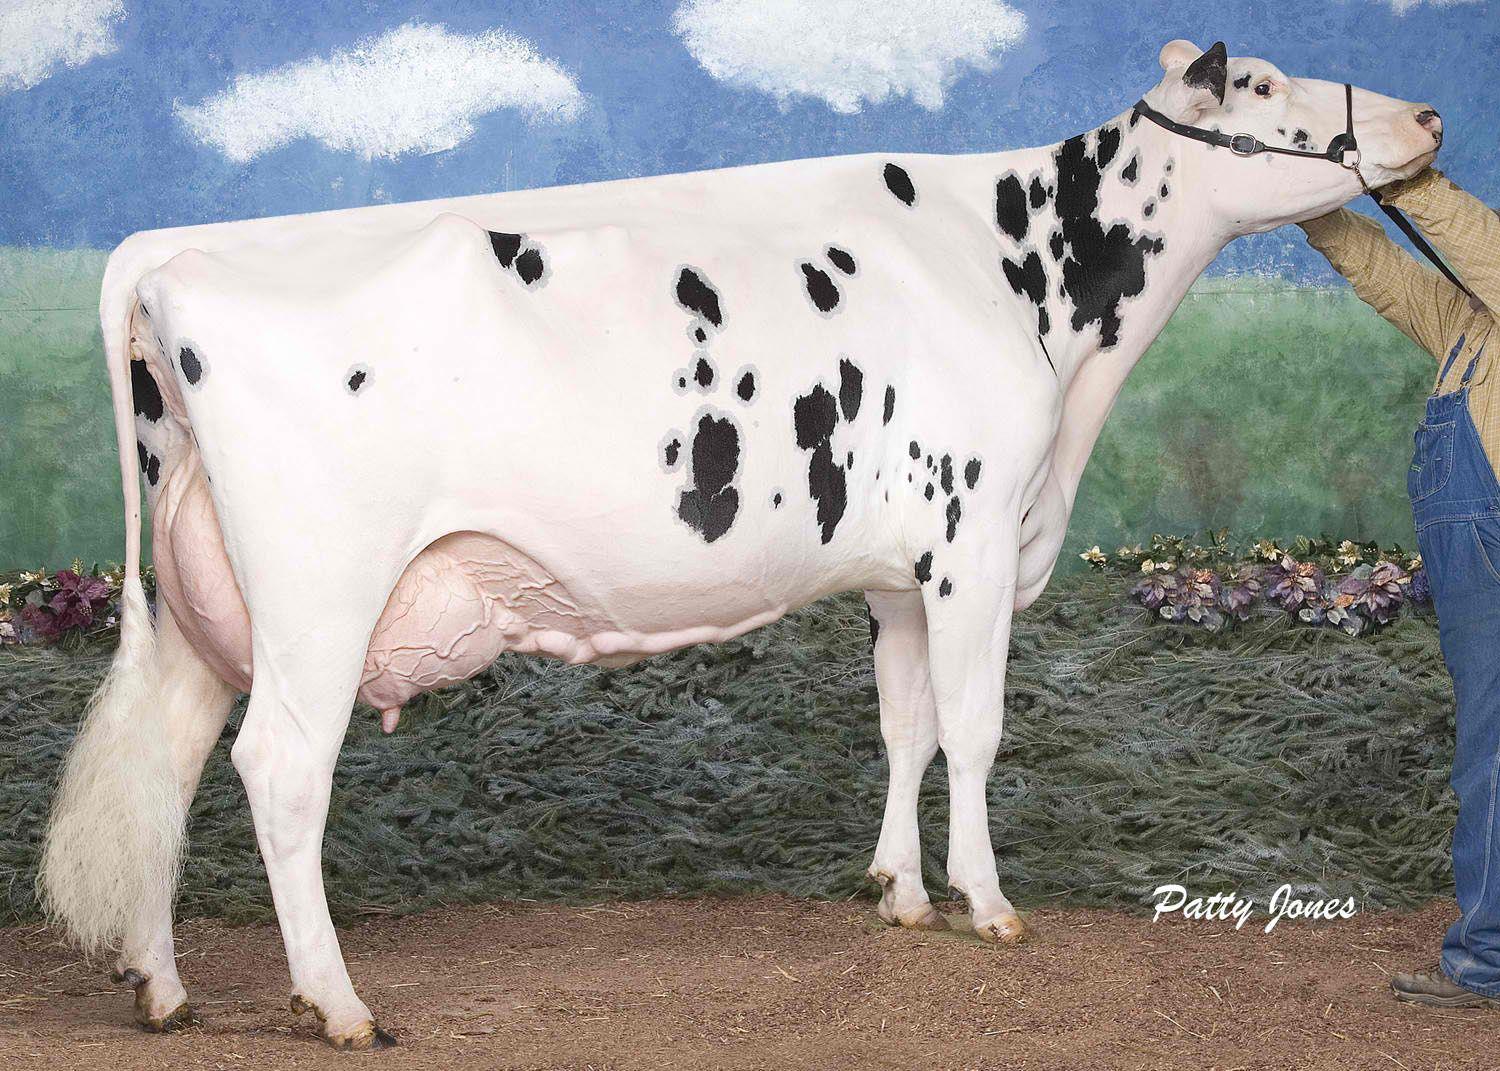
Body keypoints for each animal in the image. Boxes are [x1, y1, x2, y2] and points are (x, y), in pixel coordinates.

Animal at [38, 39, 1441, 1049]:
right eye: (1261, 82)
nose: (1428, 119)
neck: (1027, 284)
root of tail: (164, 257)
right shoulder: (976, 534)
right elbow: (977, 728)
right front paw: (987, 905)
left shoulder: (899, 574)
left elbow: (906, 724)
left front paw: (900, 893)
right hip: (319, 593)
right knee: (278, 769)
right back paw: (336, 1004)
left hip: (202, 609)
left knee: (165, 759)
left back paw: (162, 988)